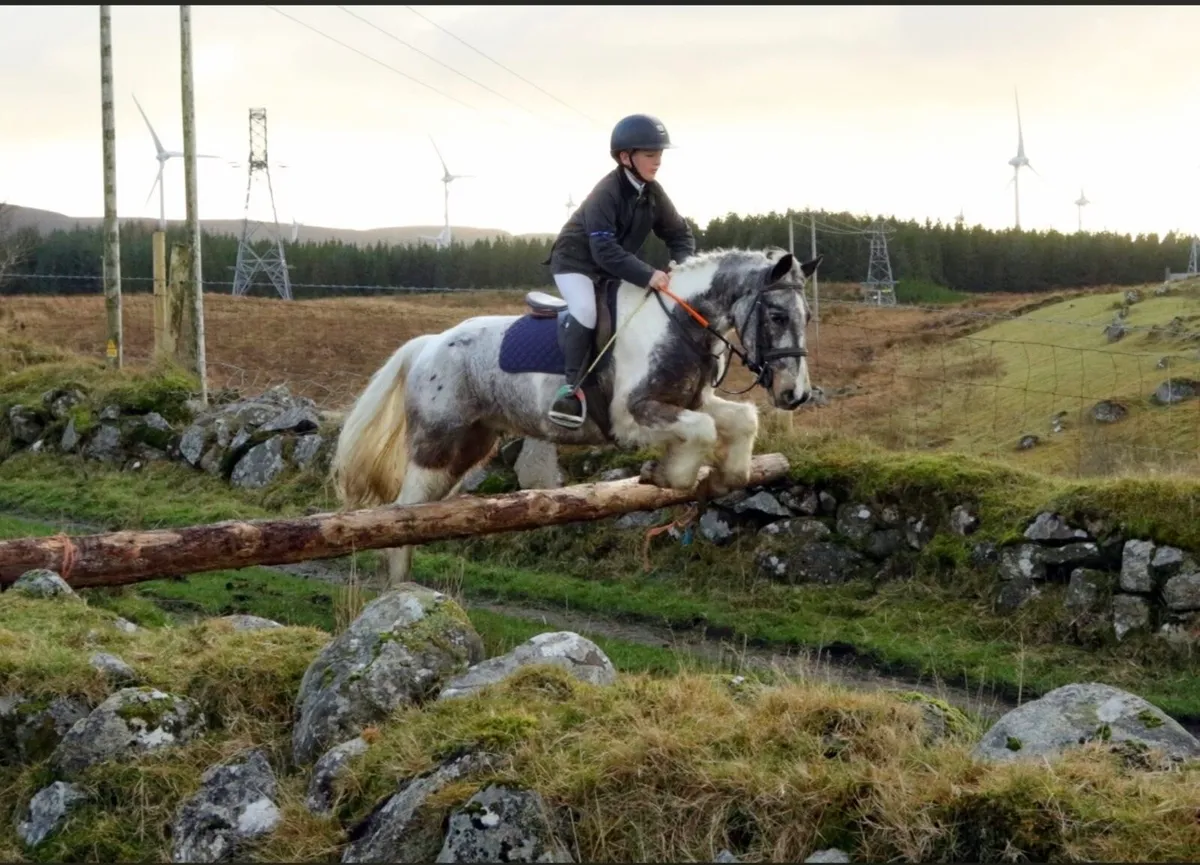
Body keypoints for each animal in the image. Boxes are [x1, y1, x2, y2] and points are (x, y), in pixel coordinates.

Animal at [330, 246, 822, 587]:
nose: (794, 394)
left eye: (807, 315)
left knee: (424, 509)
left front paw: (722, 477)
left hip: (469, 445)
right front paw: (663, 474)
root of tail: (428, 344)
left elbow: (741, 419)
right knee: (402, 512)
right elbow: (700, 432)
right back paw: (398, 590)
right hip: (436, 442)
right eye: (776, 315)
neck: (678, 324)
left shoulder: (693, 401)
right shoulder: (632, 417)